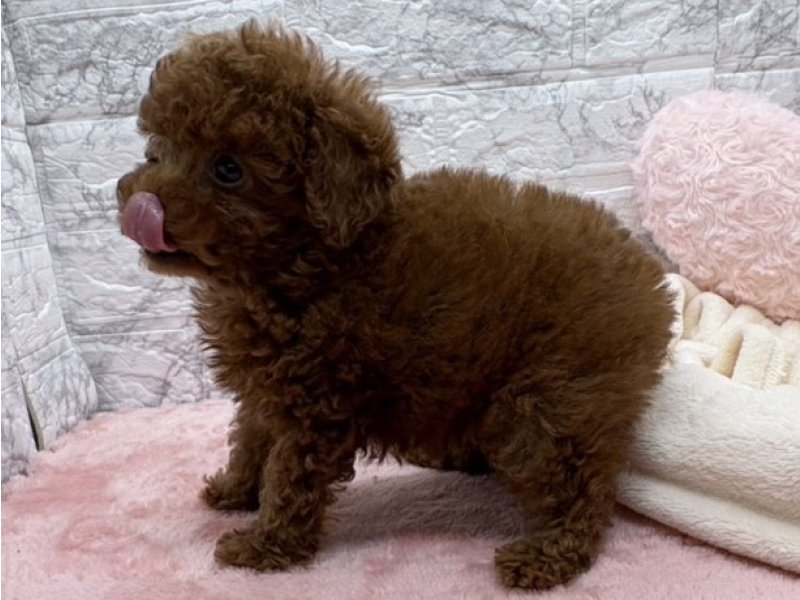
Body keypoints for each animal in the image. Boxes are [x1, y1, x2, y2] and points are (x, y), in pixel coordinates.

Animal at [117, 21, 674, 589]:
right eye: (156, 151)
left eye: (228, 169)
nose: (141, 203)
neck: (303, 264)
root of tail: (648, 278)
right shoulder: (268, 388)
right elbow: (251, 439)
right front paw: (235, 492)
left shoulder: (317, 404)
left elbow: (290, 476)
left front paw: (264, 546)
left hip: (548, 400)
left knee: (580, 487)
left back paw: (547, 556)